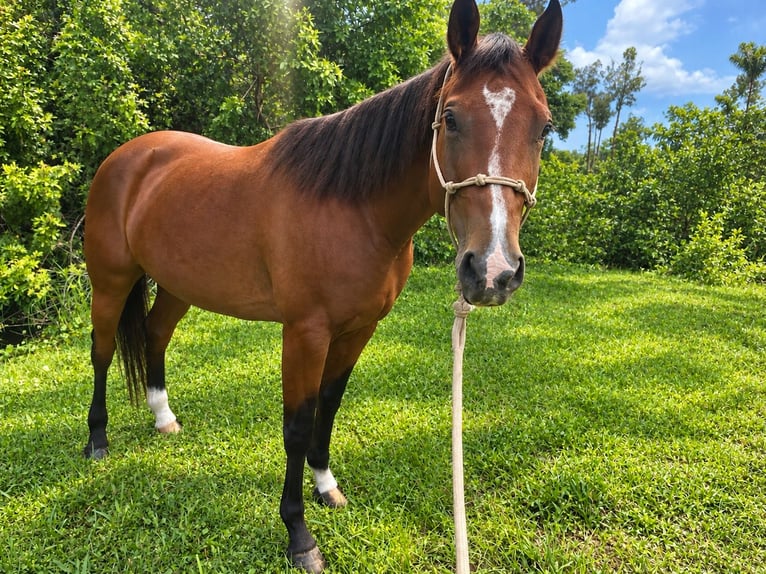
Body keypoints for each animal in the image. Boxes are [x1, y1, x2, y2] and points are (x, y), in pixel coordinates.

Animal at [82, 0, 562, 571]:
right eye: (450, 117)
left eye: (543, 128)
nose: (491, 271)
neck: (351, 206)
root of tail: (126, 157)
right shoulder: (304, 333)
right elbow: (297, 423)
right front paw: (299, 535)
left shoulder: (357, 329)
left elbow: (328, 409)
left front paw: (326, 486)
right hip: (110, 281)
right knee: (102, 350)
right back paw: (96, 440)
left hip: (178, 285)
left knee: (155, 335)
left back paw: (163, 418)